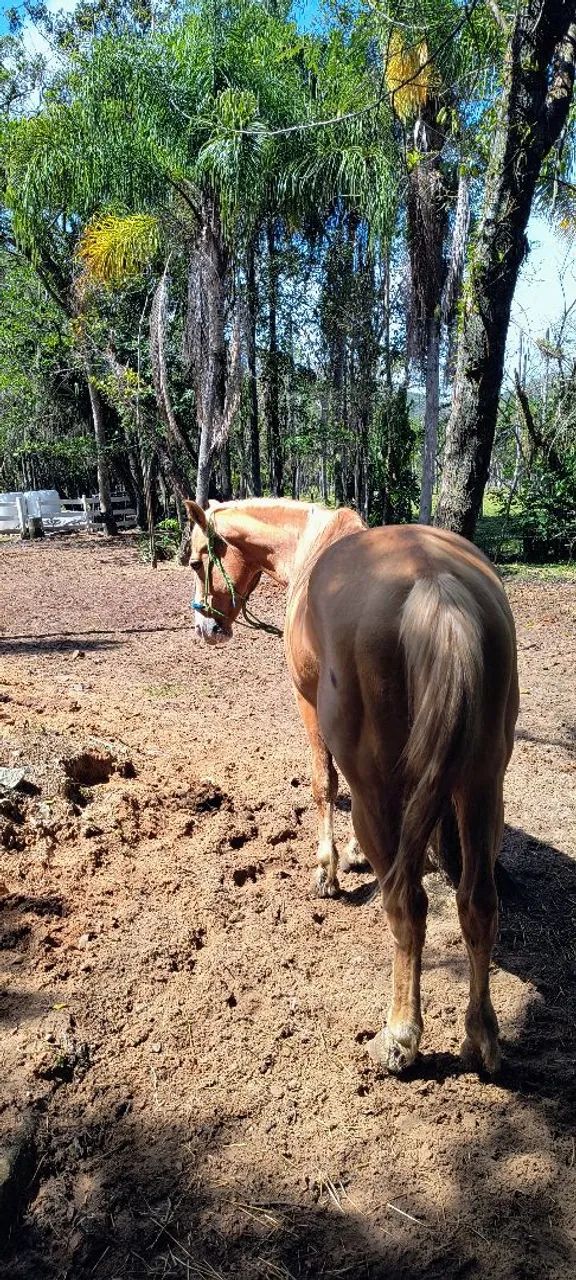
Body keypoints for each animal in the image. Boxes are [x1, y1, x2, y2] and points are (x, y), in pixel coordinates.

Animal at [184, 497, 519, 1076]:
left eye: (199, 558)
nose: (206, 626)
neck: (310, 542)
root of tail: (437, 584)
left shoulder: (308, 709)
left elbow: (322, 784)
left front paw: (328, 869)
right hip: (480, 789)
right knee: (478, 904)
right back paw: (481, 1037)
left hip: (380, 790)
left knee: (407, 904)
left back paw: (400, 1035)